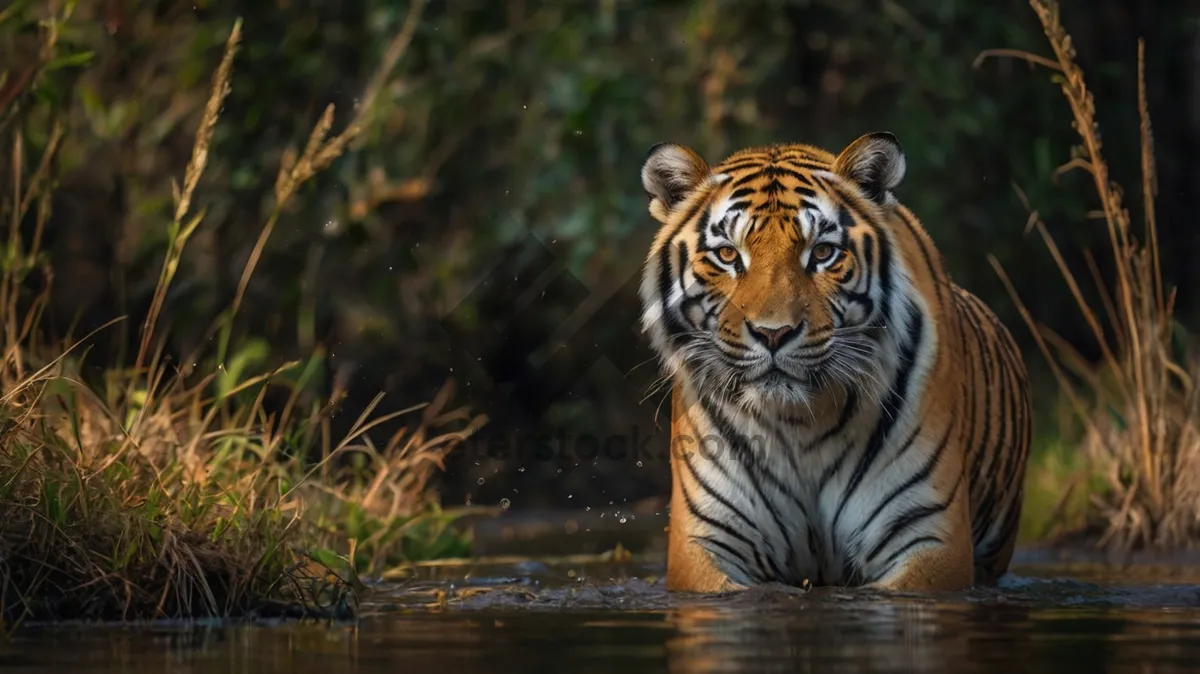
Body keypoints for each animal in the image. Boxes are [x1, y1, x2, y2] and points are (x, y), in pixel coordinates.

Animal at [638, 130, 1032, 587]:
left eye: (823, 253)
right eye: (728, 255)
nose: (773, 333)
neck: (799, 425)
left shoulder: (929, 535)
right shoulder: (704, 540)